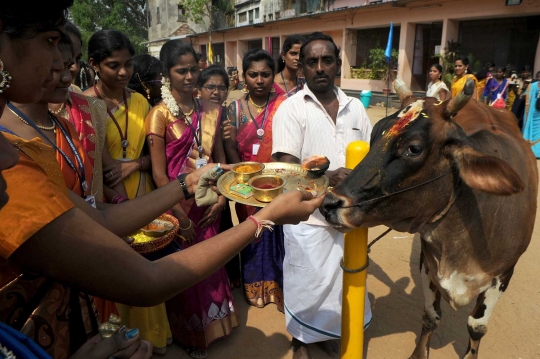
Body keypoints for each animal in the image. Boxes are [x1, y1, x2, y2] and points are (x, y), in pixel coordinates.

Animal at [320, 81, 536, 359]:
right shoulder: (428, 260)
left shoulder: (503, 274)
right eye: (373, 137)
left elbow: (476, 327)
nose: (329, 204)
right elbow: (431, 316)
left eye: (414, 149)